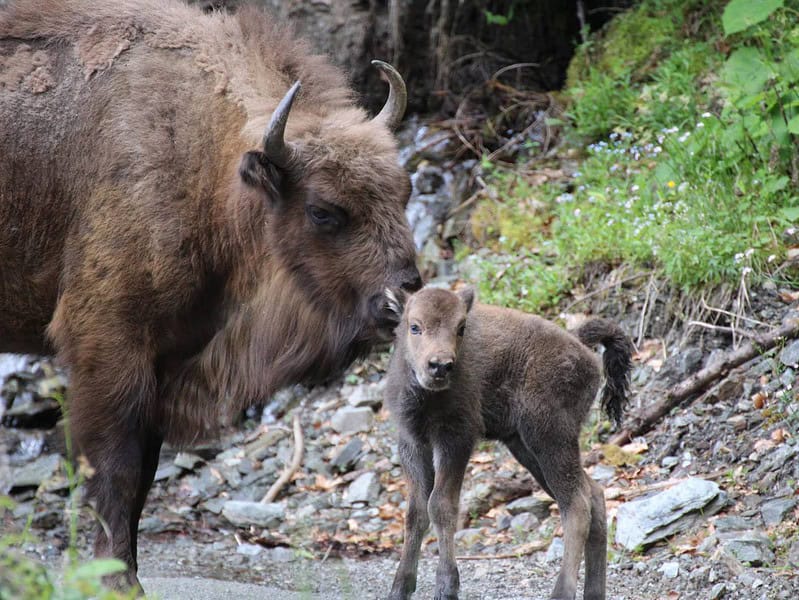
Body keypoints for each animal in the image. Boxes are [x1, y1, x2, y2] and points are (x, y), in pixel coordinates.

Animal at [0, 0, 422, 588]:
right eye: (323, 211)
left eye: (404, 190)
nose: (403, 296)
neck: (208, 163)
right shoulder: (110, 348)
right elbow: (115, 469)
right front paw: (117, 581)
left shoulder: (165, 362)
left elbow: (142, 477)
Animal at [384, 286, 636, 600]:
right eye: (414, 326)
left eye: (461, 327)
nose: (440, 366)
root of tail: (580, 345)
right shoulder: (412, 444)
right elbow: (415, 512)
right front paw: (400, 587)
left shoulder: (455, 440)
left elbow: (440, 505)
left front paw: (447, 586)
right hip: (527, 449)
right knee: (594, 494)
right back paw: (592, 593)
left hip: (550, 438)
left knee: (576, 505)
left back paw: (560, 593)